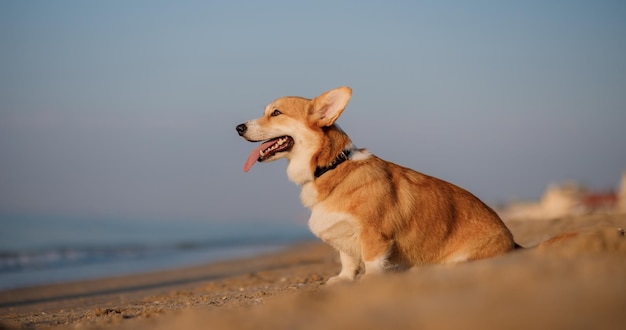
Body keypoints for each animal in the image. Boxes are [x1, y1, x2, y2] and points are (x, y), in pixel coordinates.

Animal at [235, 87, 516, 284]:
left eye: (276, 113)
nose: (238, 127)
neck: (332, 167)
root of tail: (515, 245)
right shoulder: (344, 238)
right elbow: (347, 260)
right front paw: (344, 280)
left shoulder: (373, 234)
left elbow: (371, 261)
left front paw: (369, 280)